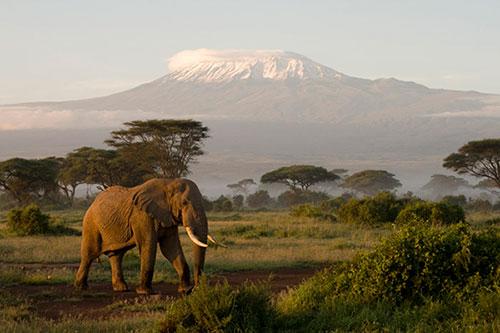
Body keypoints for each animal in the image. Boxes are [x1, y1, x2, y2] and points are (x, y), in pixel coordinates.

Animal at [73, 178, 224, 294]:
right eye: (184, 203)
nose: (199, 288)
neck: (168, 183)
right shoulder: (142, 216)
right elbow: (148, 245)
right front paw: (145, 292)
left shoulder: (167, 215)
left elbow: (170, 248)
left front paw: (185, 290)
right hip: (91, 225)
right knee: (89, 255)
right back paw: (82, 288)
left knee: (116, 256)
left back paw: (122, 289)